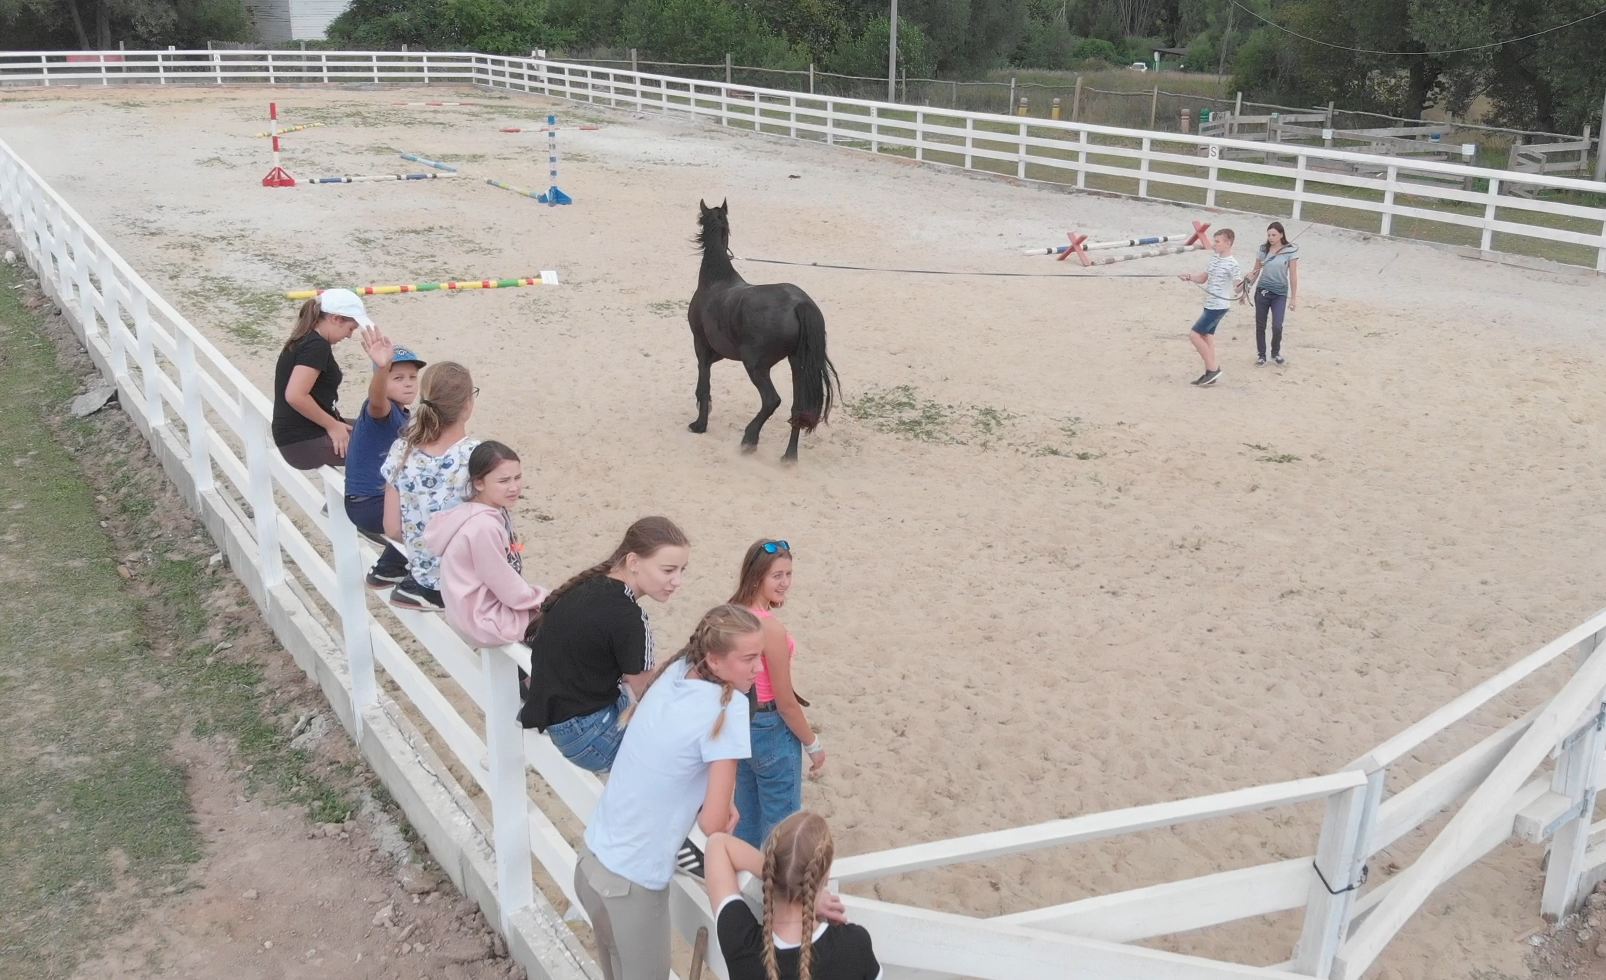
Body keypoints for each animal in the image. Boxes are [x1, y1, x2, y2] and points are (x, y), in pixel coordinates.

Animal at [687, 198, 841, 462]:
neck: (716, 280)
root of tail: (800, 303)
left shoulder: (701, 346)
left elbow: (703, 386)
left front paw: (700, 425)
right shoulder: (718, 353)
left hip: (756, 366)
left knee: (771, 400)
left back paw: (749, 439)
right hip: (797, 364)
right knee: (797, 408)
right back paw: (789, 457)